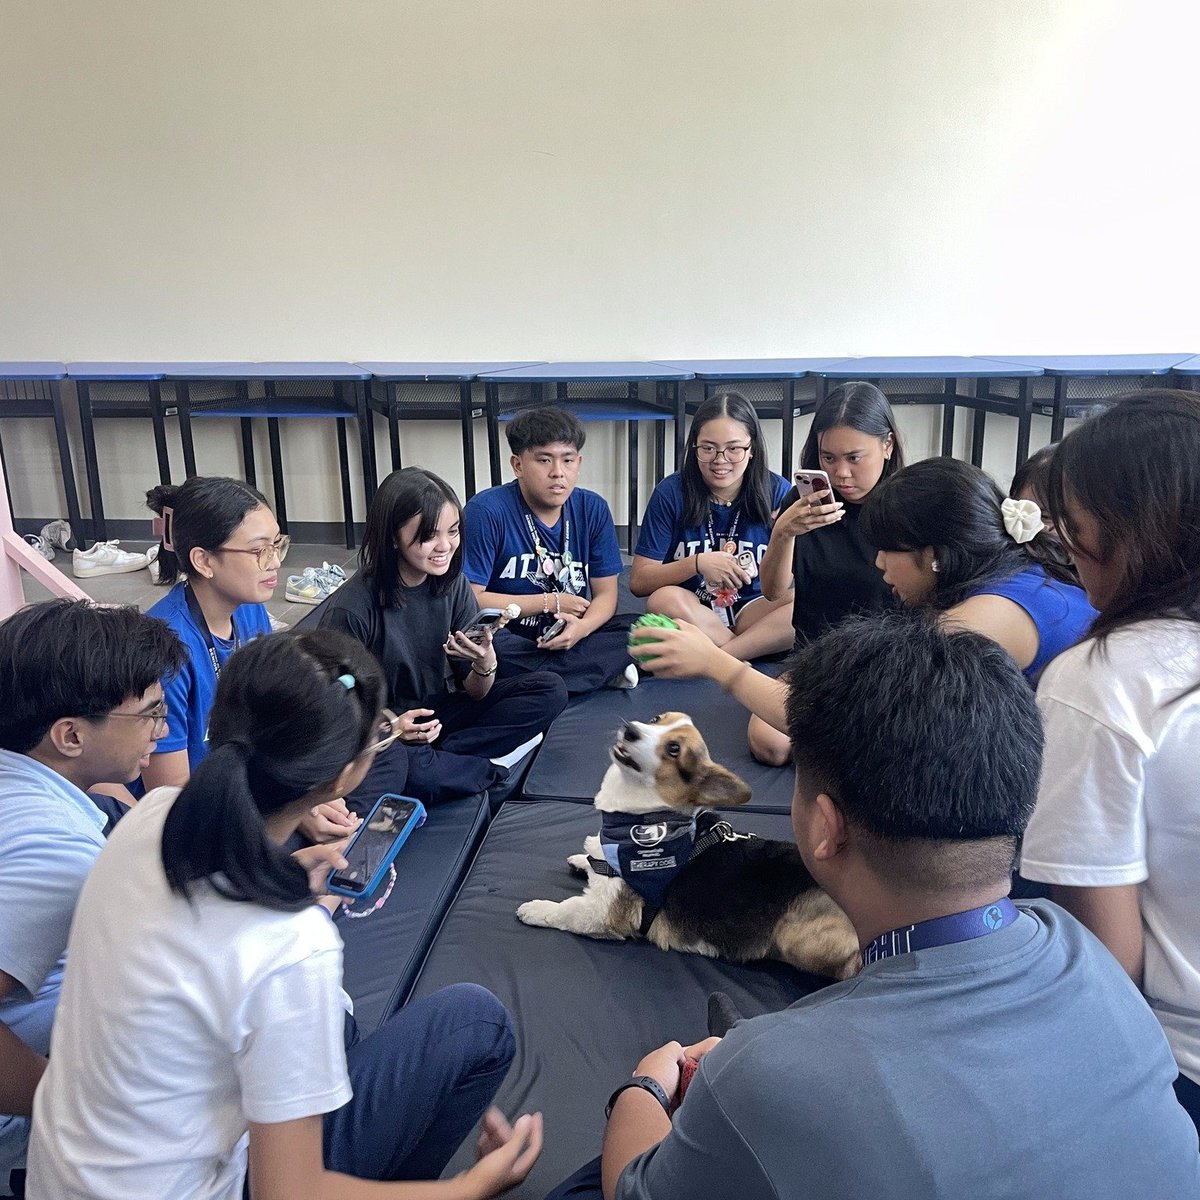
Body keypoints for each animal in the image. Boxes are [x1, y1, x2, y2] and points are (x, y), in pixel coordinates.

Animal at [516, 705, 864, 979]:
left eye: (673, 749)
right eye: (655, 719)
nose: (630, 729)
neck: (640, 820)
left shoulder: (603, 914)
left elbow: (565, 911)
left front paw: (535, 909)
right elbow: (591, 858)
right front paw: (583, 859)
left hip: (797, 936)